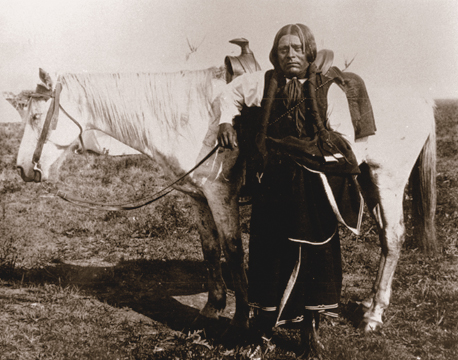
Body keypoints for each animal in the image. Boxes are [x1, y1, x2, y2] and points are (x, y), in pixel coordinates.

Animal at [15, 67, 436, 334]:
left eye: (37, 116)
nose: (22, 169)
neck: (186, 115)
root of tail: (422, 97)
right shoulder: (198, 197)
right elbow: (210, 249)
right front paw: (211, 308)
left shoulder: (221, 195)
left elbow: (233, 251)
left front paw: (241, 318)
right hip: (366, 179)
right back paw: (367, 305)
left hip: (387, 178)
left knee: (393, 238)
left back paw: (373, 316)